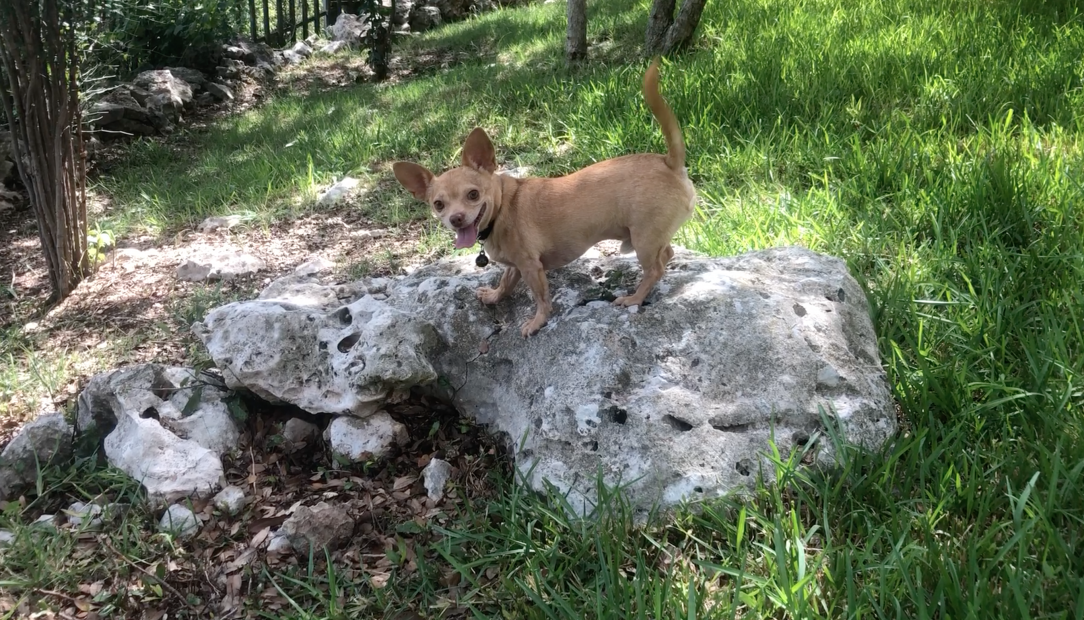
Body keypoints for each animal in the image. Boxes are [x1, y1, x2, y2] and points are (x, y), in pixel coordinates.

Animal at [394, 57, 689, 336]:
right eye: (438, 205)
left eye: (473, 194)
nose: (456, 218)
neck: (502, 208)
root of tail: (668, 162)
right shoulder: (515, 266)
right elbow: (505, 282)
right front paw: (493, 296)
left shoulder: (531, 267)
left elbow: (541, 298)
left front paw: (537, 322)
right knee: (668, 254)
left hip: (643, 240)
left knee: (656, 268)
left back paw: (634, 298)